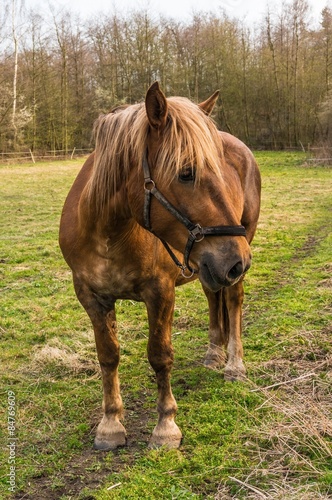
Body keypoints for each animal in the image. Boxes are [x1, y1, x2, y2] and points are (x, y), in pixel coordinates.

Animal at [59, 82, 262, 450]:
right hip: (207, 266)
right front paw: (110, 424)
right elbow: (108, 355)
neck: (109, 233)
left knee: (233, 300)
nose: (237, 260)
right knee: (214, 296)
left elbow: (160, 355)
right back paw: (214, 354)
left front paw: (166, 426)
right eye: (186, 173)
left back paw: (234, 365)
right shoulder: (91, 296)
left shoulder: (161, 292)